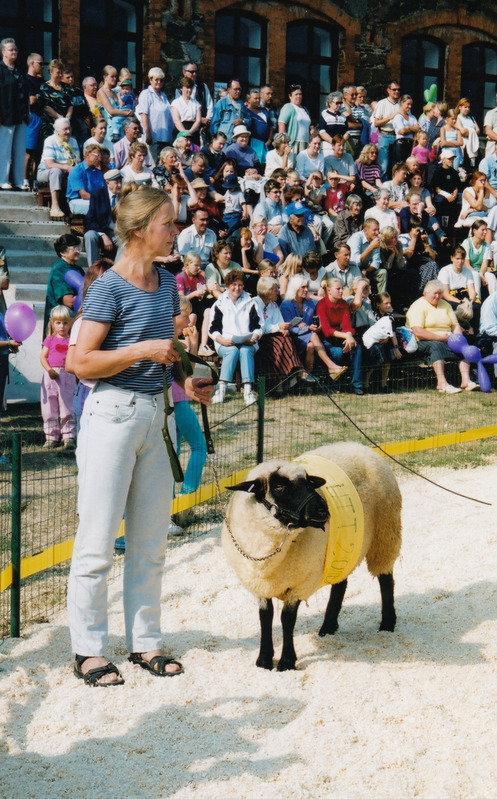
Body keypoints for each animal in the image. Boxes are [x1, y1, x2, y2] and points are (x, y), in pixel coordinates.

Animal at [223, 440, 402, 672]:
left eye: (309, 482)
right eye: (279, 486)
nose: (323, 510)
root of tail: (360, 446)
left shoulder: (300, 583)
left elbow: (287, 619)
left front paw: (286, 662)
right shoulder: (259, 584)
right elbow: (265, 617)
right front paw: (263, 661)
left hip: (385, 535)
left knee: (386, 579)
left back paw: (387, 623)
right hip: (344, 546)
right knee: (341, 584)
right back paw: (328, 627)